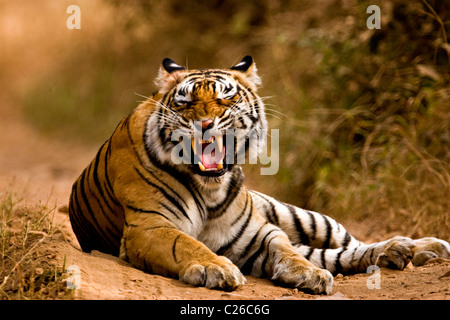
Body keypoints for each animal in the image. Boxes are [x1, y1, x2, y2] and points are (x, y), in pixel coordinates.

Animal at [67, 56, 450, 294]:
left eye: (225, 98)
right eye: (184, 103)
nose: (204, 123)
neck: (209, 189)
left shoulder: (257, 232)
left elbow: (286, 250)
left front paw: (309, 274)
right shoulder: (149, 226)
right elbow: (186, 243)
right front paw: (217, 268)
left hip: (301, 215)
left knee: (347, 244)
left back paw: (420, 248)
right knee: (337, 254)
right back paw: (405, 253)